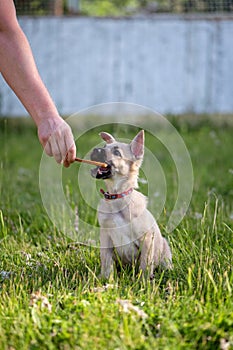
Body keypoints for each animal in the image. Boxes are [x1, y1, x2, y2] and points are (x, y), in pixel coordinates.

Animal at [90, 129, 172, 278]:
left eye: (117, 153)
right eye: (104, 147)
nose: (95, 149)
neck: (117, 197)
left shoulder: (146, 239)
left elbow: (145, 264)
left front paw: (144, 281)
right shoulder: (106, 237)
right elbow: (106, 261)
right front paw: (105, 278)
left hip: (165, 249)